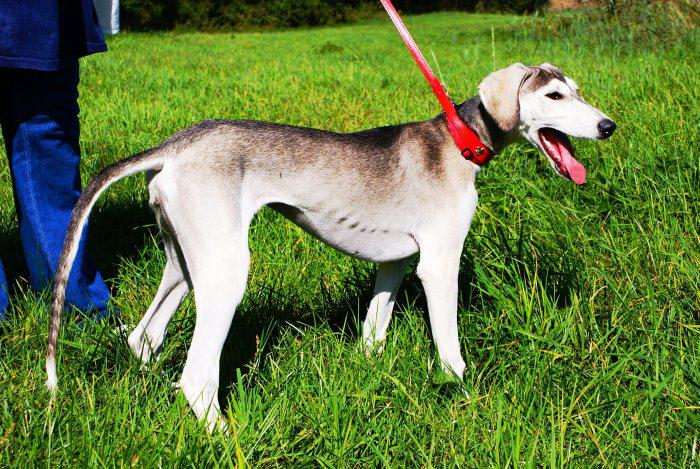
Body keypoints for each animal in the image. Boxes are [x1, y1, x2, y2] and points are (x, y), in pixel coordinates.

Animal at [43, 62, 616, 428]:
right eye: (554, 96)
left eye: (578, 90)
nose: (608, 125)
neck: (459, 141)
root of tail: (172, 146)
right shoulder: (437, 264)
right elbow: (451, 351)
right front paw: (464, 396)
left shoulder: (395, 265)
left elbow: (374, 331)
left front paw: (371, 375)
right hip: (226, 271)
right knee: (197, 378)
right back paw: (229, 438)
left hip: (184, 264)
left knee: (144, 337)